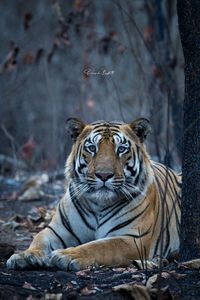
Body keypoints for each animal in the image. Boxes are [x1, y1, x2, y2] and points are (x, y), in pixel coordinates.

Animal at [6, 118, 181, 272]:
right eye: (91, 148)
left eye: (121, 149)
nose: (104, 175)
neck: (99, 205)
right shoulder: (58, 230)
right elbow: (39, 238)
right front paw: (26, 256)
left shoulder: (134, 238)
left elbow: (100, 246)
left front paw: (67, 255)